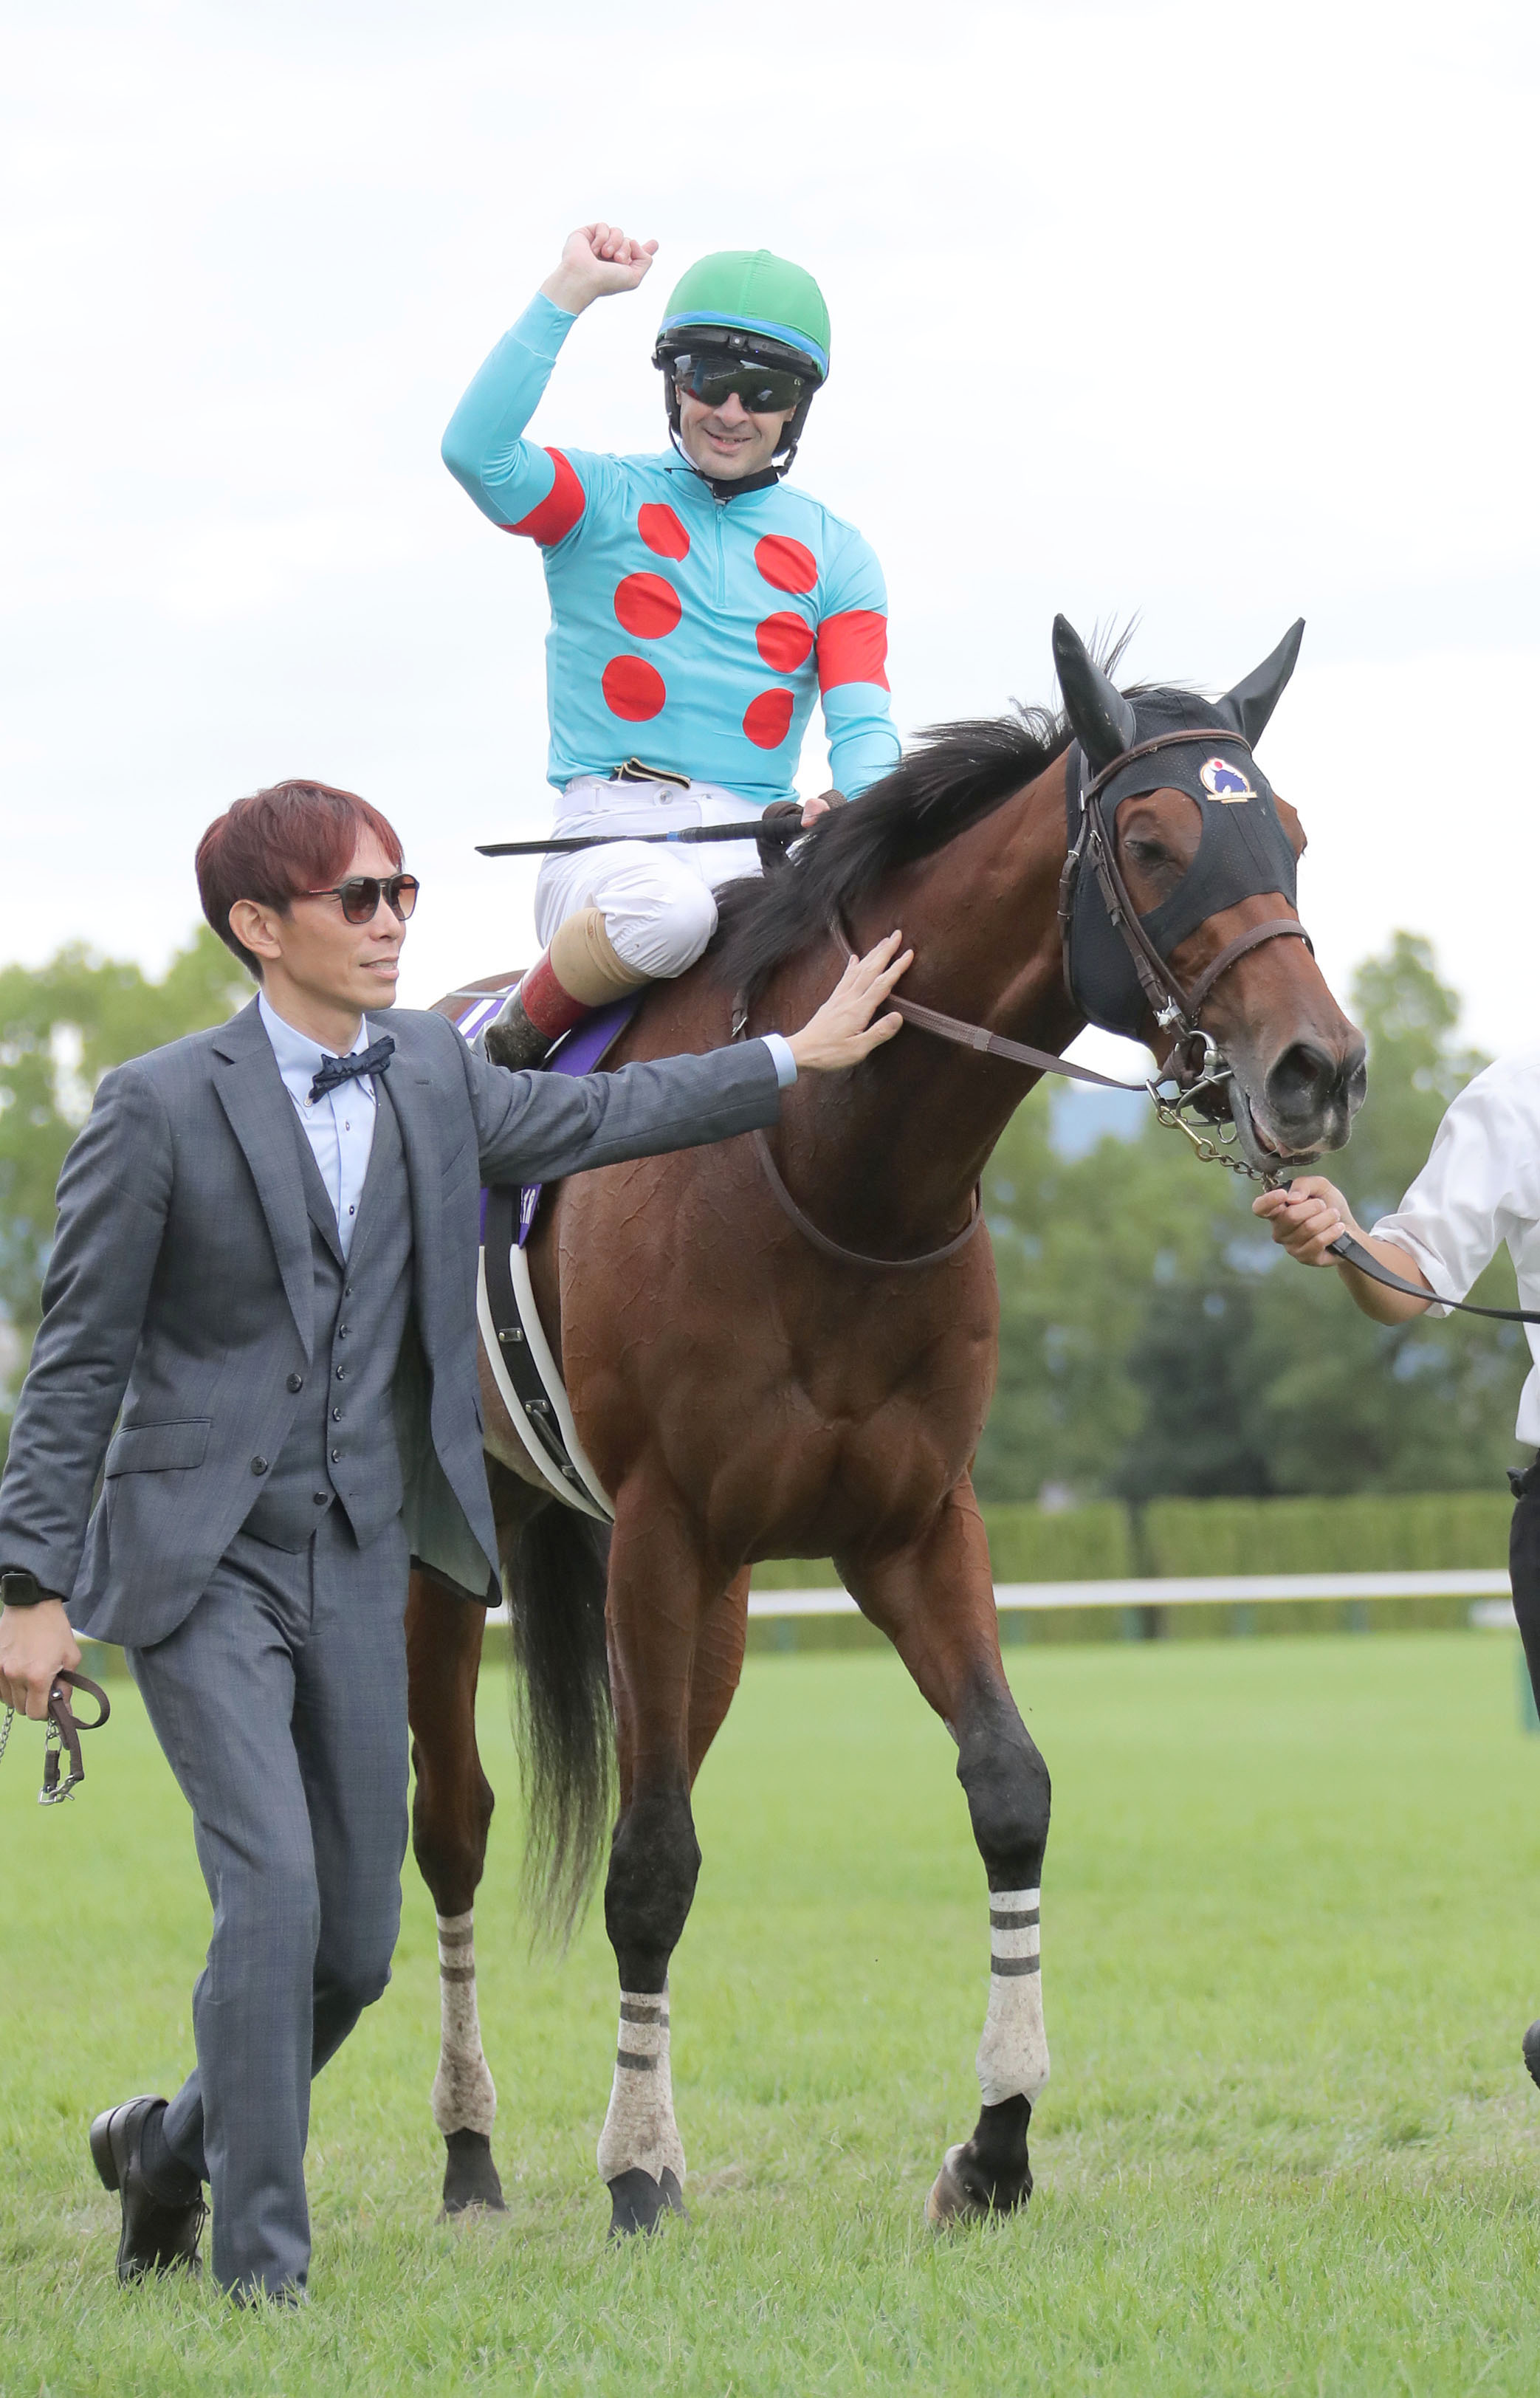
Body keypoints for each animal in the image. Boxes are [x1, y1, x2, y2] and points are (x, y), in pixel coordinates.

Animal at [404, 616, 1367, 2235]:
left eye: (1286, 832)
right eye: (1154, 839)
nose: (1317, 1069)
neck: (834, 1166)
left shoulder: (910, 1522)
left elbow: (1007, 1788)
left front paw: (995, 2143)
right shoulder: (662, 1525)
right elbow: (646, 1858)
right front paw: (635, 2169)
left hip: (712, 1599)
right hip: (449, 1547)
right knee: (454, 1820)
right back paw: (468, 2151)